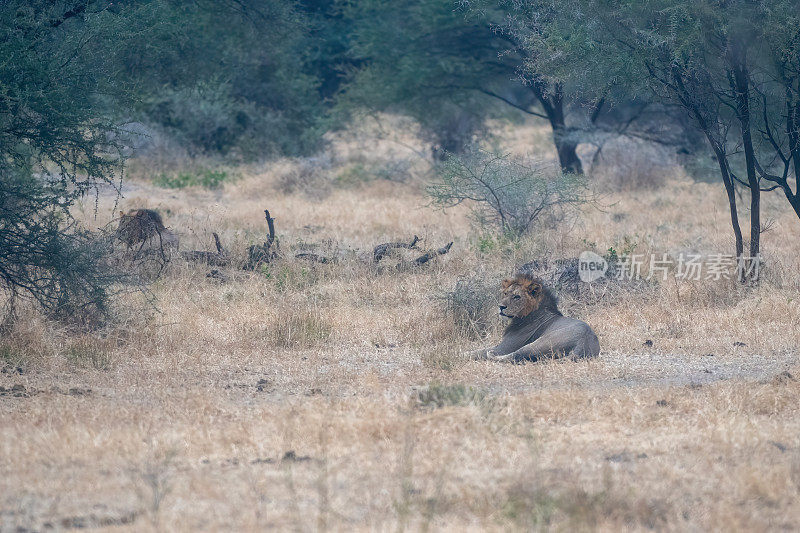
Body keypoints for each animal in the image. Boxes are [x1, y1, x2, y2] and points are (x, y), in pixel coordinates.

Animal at [468, 274, 600, 362]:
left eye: (517, 296)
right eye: (505, 293)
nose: (501, 307)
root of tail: (584, 342)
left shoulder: (503, 348)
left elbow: (478, 352)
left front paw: (464, 354)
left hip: (542, 342)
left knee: (515, 355)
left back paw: (492, 355)